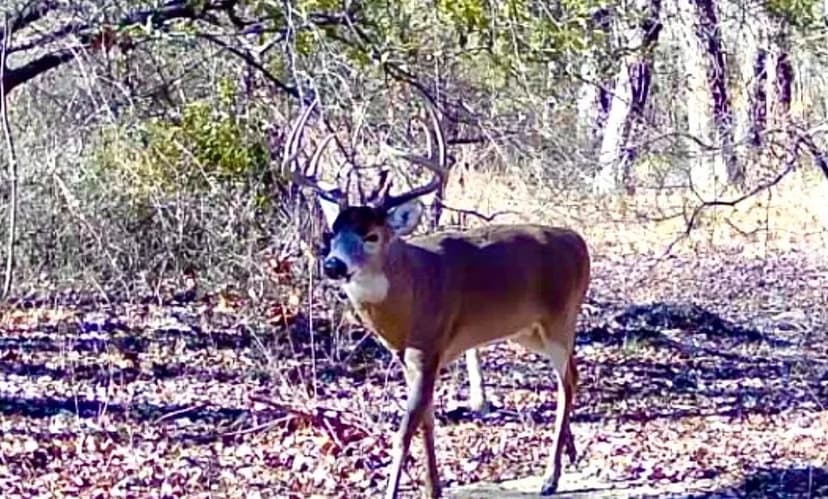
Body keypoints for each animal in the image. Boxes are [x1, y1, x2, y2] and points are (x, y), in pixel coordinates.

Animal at [286, 95, 591, 498]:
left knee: (566, 381)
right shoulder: (407, 357)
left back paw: (550, 477)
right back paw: (569, 454)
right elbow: (428, 421)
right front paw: (434, 488)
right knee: (572, 371)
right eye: (332, 232)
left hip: (560, 317)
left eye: (372, 235)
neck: (412, 295)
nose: (334, 264)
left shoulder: (427, 349)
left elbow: (405, 431)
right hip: (528, 332)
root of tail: (578, 242)